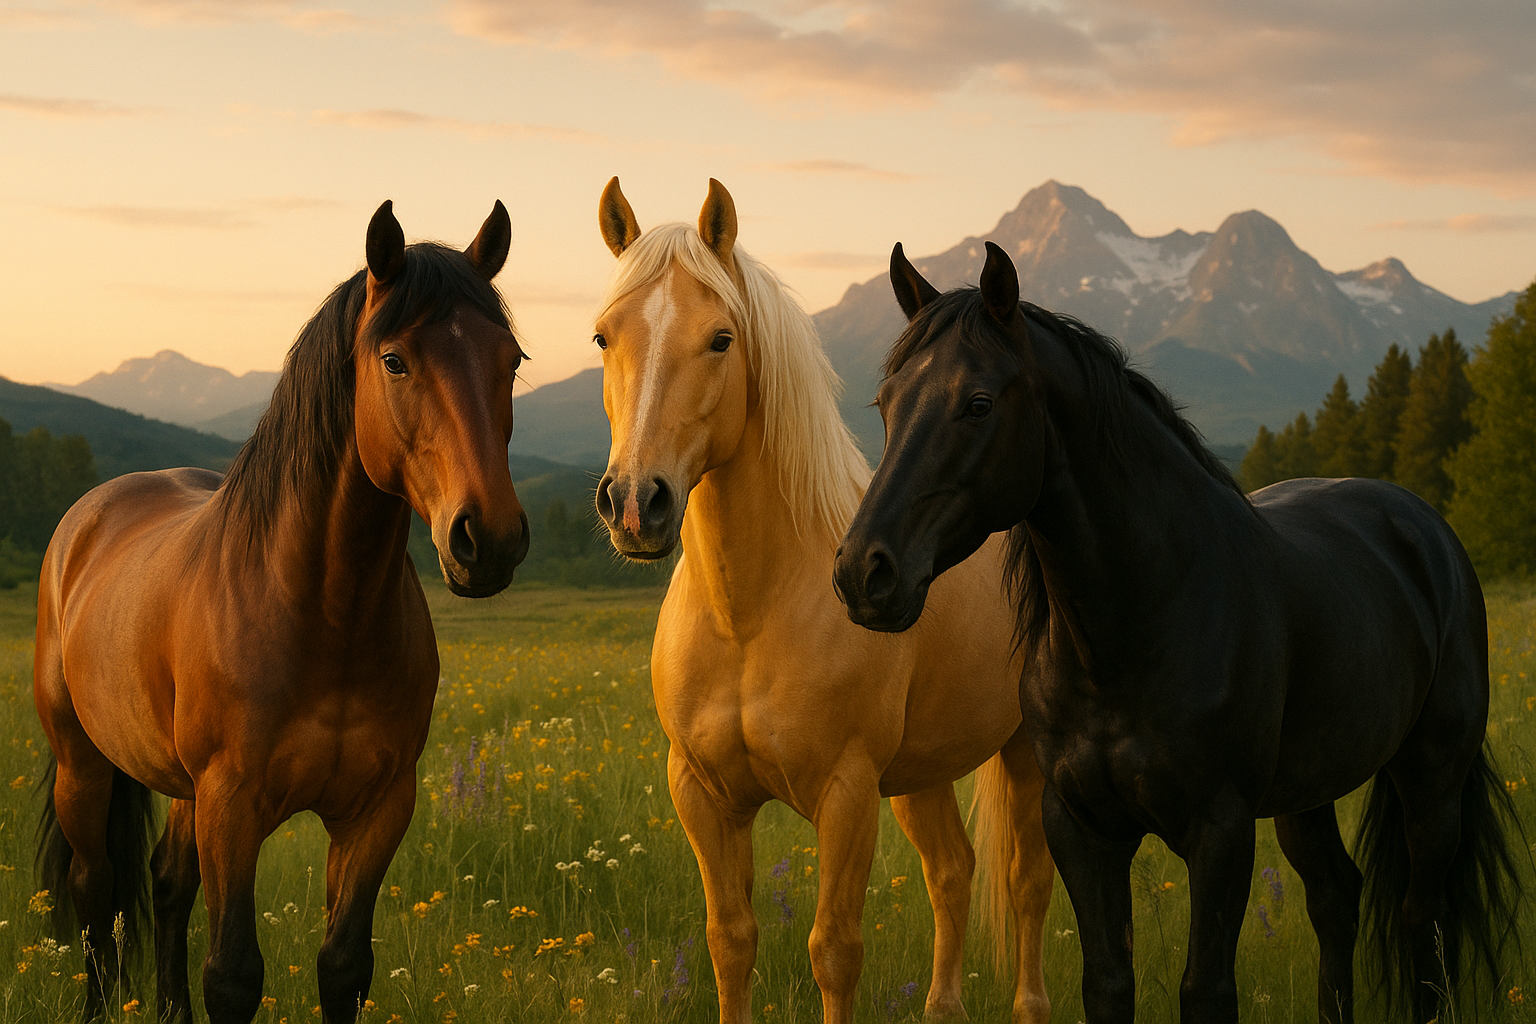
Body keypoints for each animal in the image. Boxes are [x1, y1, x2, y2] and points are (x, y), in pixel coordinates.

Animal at [33, 201, 530, 1024]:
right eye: (394, 360)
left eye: (512, 360)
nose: (487, 540)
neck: (325, 616)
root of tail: (88, 516)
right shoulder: (233, 806)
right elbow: (233, 975)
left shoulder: (377, 809)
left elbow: (344, 965)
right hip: (84, 763)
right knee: (94, 891)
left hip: (181, 789)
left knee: (166, 884)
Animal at [588, 178, 1057, 1024]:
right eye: (605, 336)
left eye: (720, 339)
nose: (636, 503)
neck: (750, 612)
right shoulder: (703, 795)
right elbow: (730, 941)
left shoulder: (845, 795)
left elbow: (834, 953)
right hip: (921, 773)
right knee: (952, 872)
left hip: (1021, 753)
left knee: (1026, 883)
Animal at [833, 241, 1525, 1023]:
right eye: (886, 404)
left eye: (977, 404)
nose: (863, 572)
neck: (1138, 629)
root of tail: (1426, 529)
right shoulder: (1082, 827)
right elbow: (1108, 983)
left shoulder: (1219, 831)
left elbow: (1207, 988)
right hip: (1308, 794)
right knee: (1336, 900)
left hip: (1431, 779)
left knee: (1422, 921)